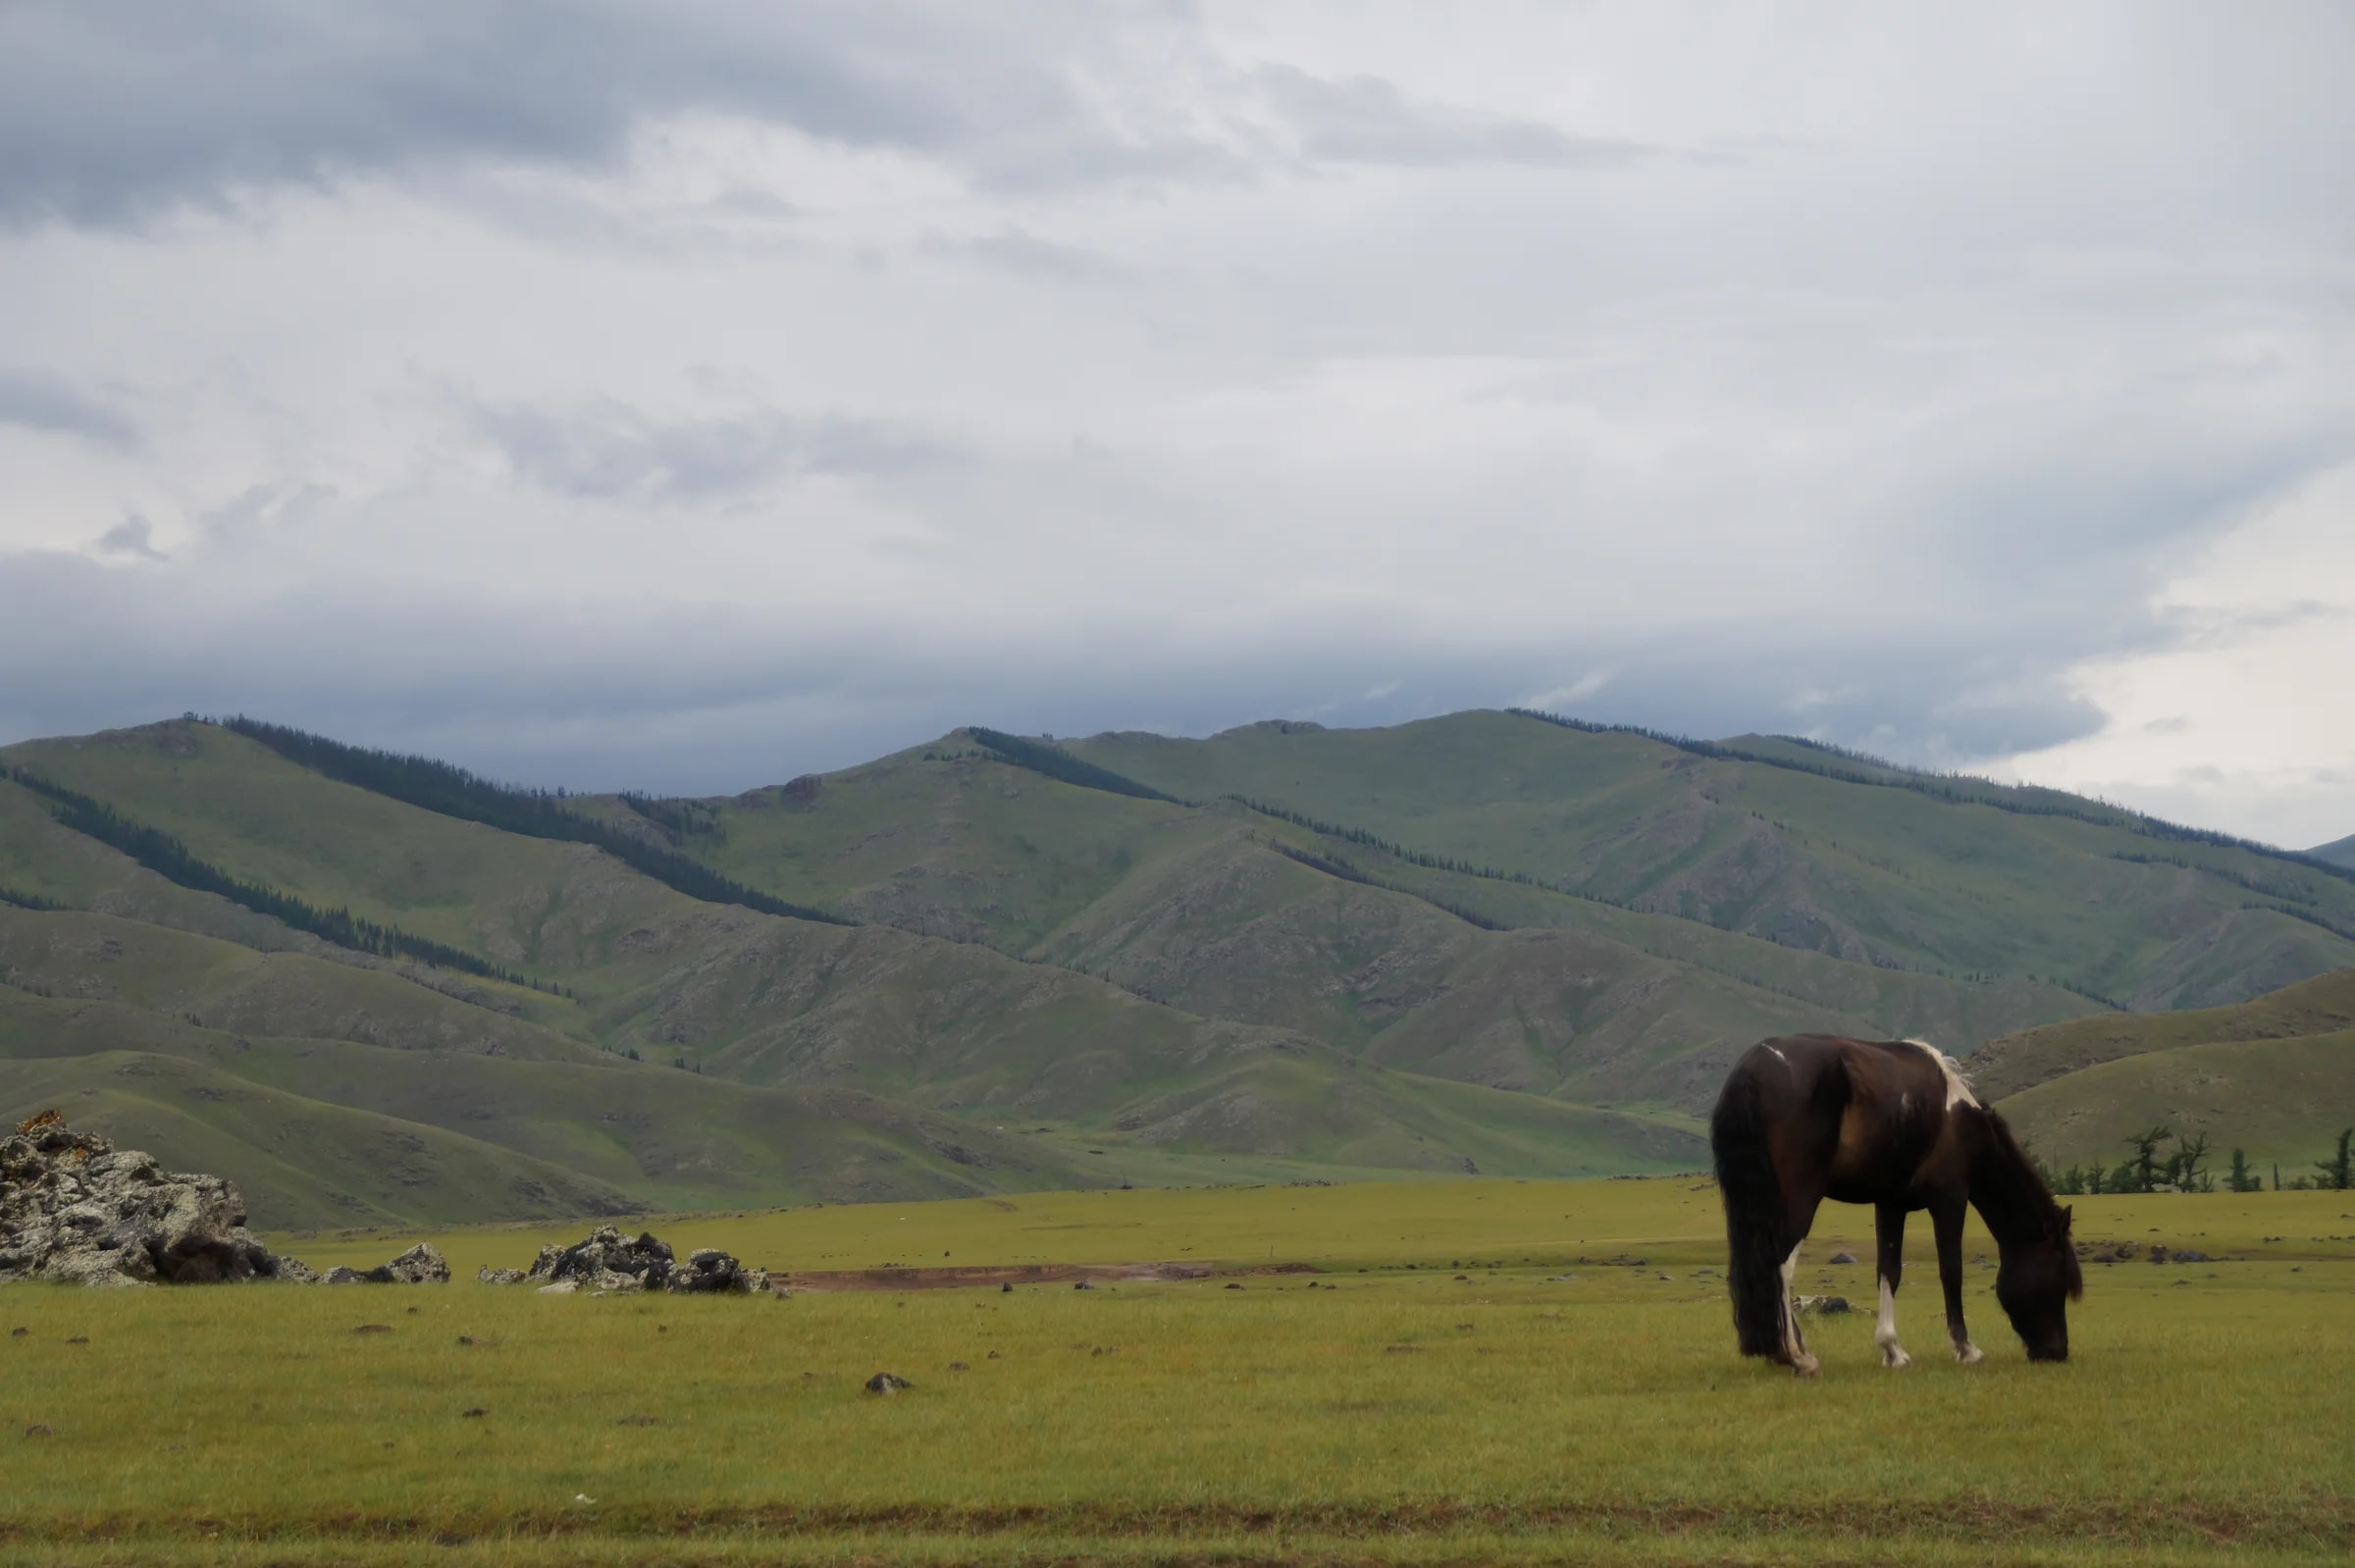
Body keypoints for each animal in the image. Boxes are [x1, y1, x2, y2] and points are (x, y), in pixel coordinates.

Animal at [1708, 1034, 2081, 1376]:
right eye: (2060, 1278)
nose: (2057, 1351)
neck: (1959, 1119)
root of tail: (1753, 1071)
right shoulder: (1950, 1200)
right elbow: (1952, 1271)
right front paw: (1965, 1348)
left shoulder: (1890, 1204)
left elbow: (1889, 1271)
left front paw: (1892, 1350)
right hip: (1798, 1201)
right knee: (1781, 1266)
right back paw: (1798, 1355)